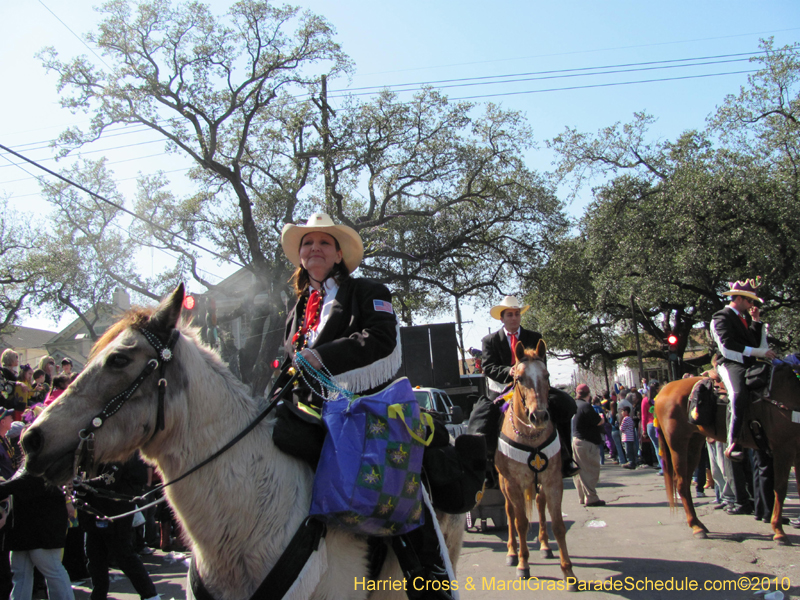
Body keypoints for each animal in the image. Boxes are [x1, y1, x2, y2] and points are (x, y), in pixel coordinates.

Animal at [494, 340, 576, 588]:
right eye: (520, 378)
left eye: (547, 375)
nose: (538, 416)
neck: (531, 437)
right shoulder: (513, 484)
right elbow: (520, 522)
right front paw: (523, 564)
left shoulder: (552, 481)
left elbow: (558, 524)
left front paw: (568, 571)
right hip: (503, 483)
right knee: (510, 513)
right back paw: (512, 552)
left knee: (540, 505)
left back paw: (545, 546)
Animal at [656, 368, 800, 548]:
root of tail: (664, 389)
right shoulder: (783, 449)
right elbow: (780, 489)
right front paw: (779, 531)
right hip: (678, 445)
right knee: (681, 483)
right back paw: (696, 527)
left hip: (694, 444)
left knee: (687, 482)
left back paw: (699, 523)